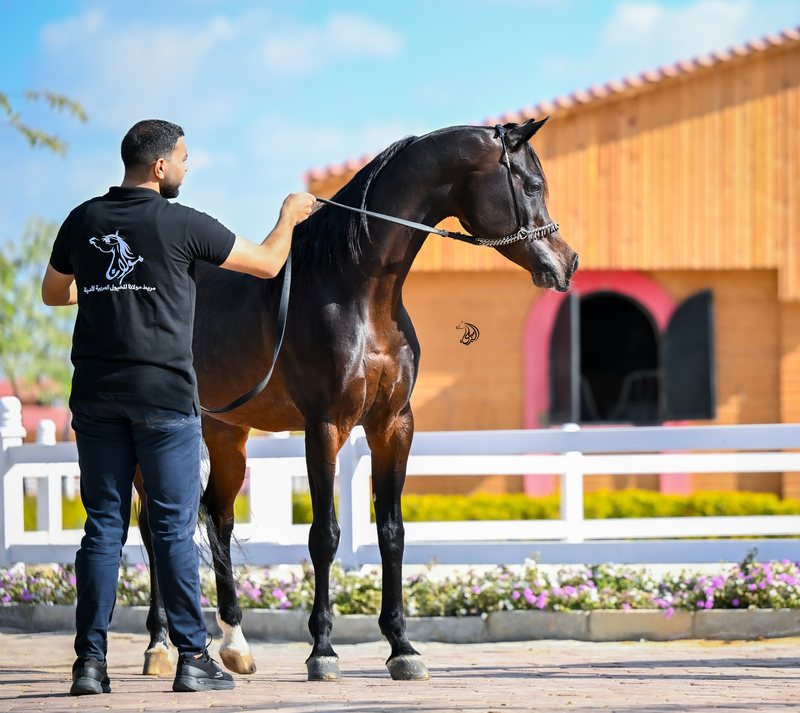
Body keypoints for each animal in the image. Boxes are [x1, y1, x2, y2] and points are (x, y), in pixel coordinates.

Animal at [135, 118, 578, 681]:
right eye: (532, 185)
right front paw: (322, 651)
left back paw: (235, 644)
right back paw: (159, 646)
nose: (568, 263)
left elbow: (391, 531)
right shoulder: (324, 426)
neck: (359, 293)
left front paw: (402, 647)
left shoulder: (393, 425)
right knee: (154, 528)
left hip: (226, 433)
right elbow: (324, 535)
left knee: (218, 515)